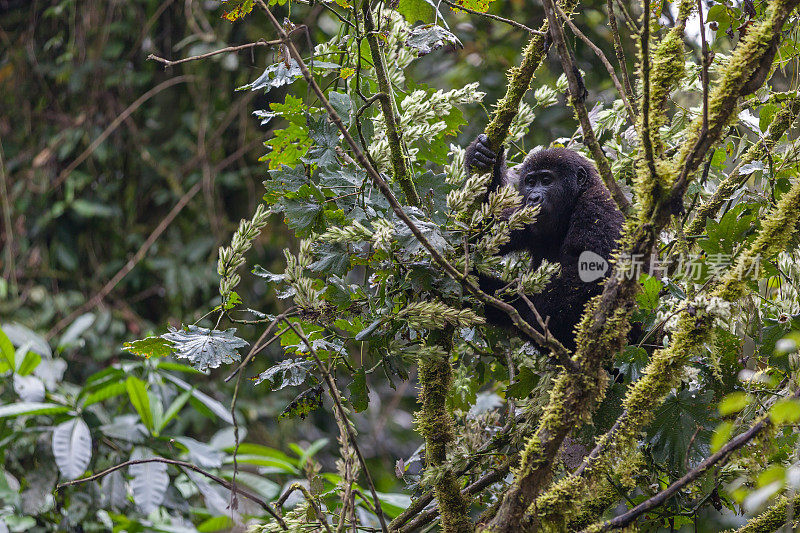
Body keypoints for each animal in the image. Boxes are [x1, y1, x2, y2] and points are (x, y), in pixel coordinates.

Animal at [462, 133, 624, 350]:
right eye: (530, 182)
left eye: (547, 180)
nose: (533, 198)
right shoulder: (524, 215)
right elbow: (482, 233)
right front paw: (482, 156)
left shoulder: (597, 209)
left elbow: (586, 280)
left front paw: (509, 302)